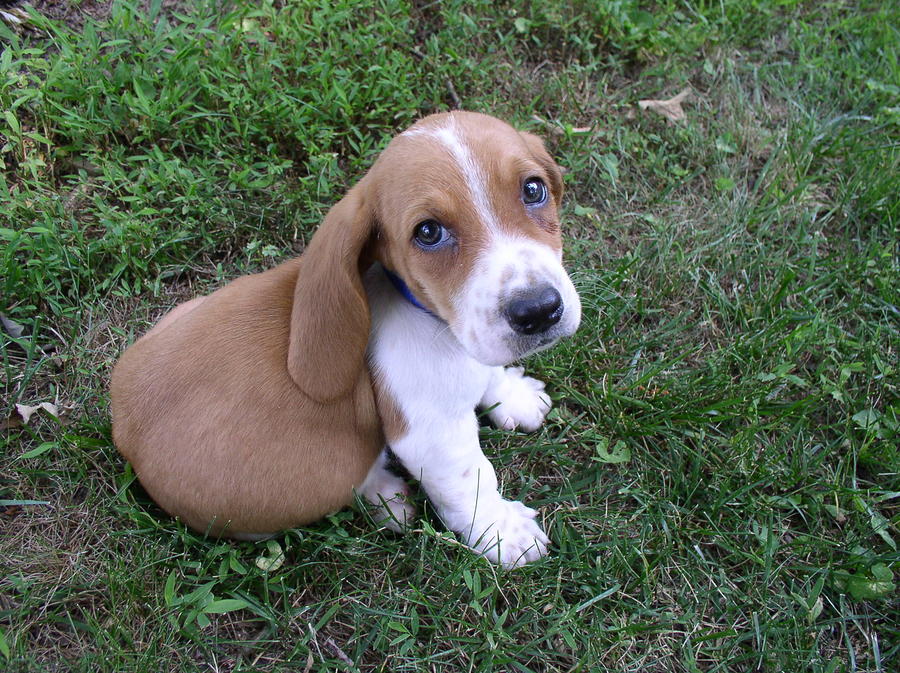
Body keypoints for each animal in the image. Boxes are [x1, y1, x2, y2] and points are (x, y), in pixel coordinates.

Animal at [110, 111, 584, 568]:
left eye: (533, 189)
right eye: (428, 232)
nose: (539, 310)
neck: (434, 320)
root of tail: (122, 428)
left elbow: (488, 373)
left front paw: (512, 394)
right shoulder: (432, 434)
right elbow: (472, 482)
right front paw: (503, 532)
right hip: (314, 476)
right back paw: (386, 499)